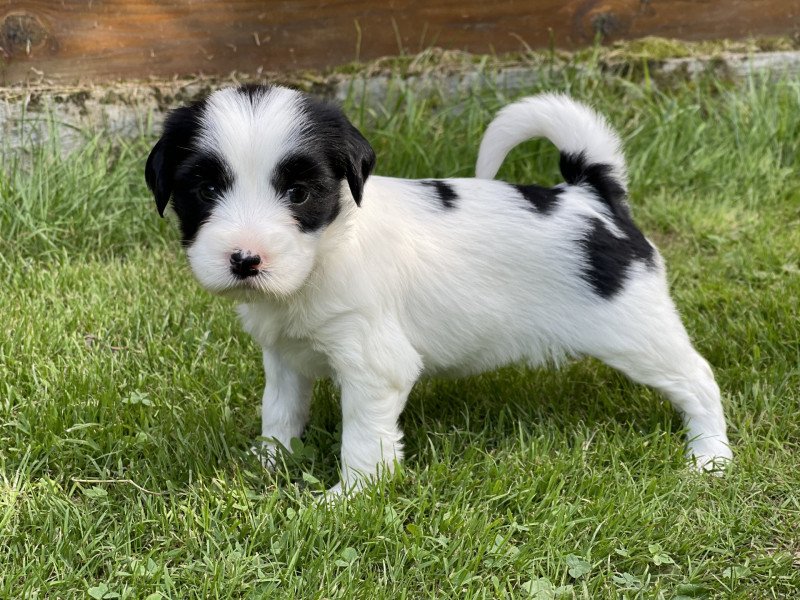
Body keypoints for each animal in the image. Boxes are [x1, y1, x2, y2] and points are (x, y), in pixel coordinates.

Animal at [147, 85, 736, 496]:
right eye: (205, 189)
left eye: (298, 193)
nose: (245, 259)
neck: (327, 251)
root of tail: (594, 196)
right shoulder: (285, 357)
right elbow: (280, 413)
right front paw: (270, 463)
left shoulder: (373, 365)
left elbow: (363, 439)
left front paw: (348, 498)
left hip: (638, 332)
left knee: (698, 379)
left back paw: (710, 456)